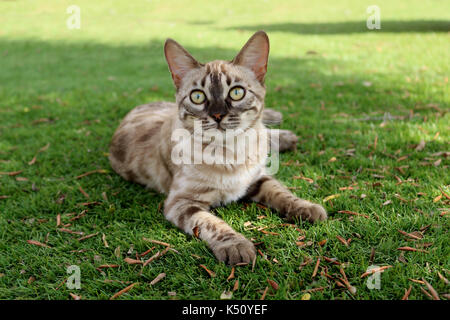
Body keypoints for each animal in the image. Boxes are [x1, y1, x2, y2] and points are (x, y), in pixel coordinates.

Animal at [109, 30, 326, 264]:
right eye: (197, 96)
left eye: (237, 92)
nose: (218, 115)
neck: (230, 152)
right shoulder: (181, 202)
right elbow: (211, 223)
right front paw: (235, 245)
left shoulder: (257, 177)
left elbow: (283, 193)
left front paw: (306, 207)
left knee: (264, 129)